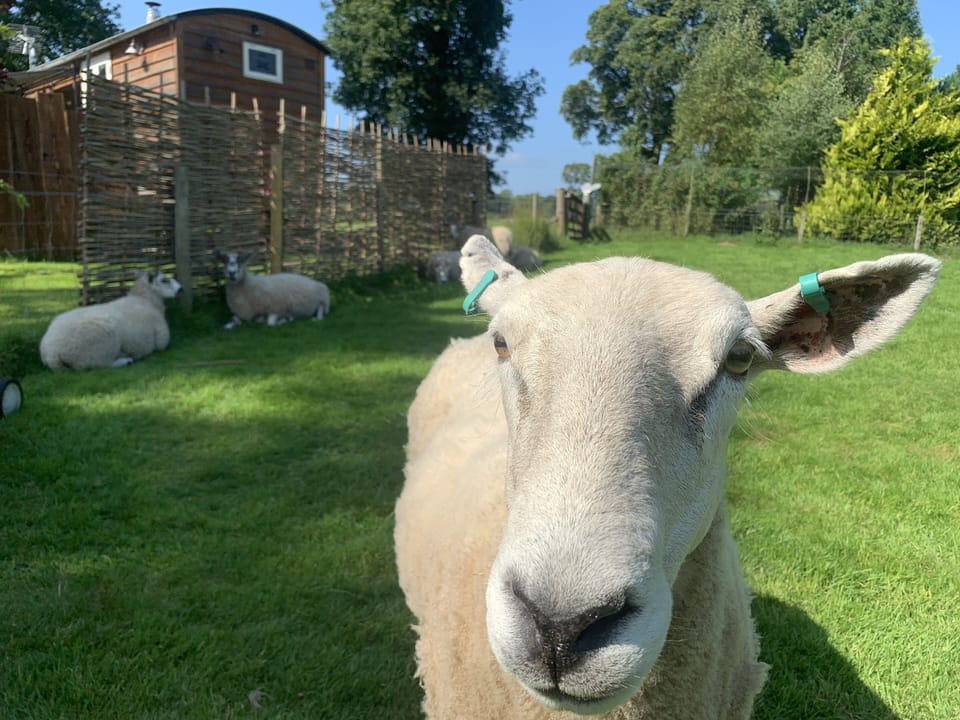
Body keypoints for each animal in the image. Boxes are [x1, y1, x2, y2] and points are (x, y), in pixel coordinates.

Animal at [39, 270, 182, 370]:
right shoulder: (162, 339)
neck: (145, 300)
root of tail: (52, 354)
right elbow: (161, 346)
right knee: (101, 366)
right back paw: (125, 361)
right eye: (164, 280)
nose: (181, 289)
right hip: (96, 353)